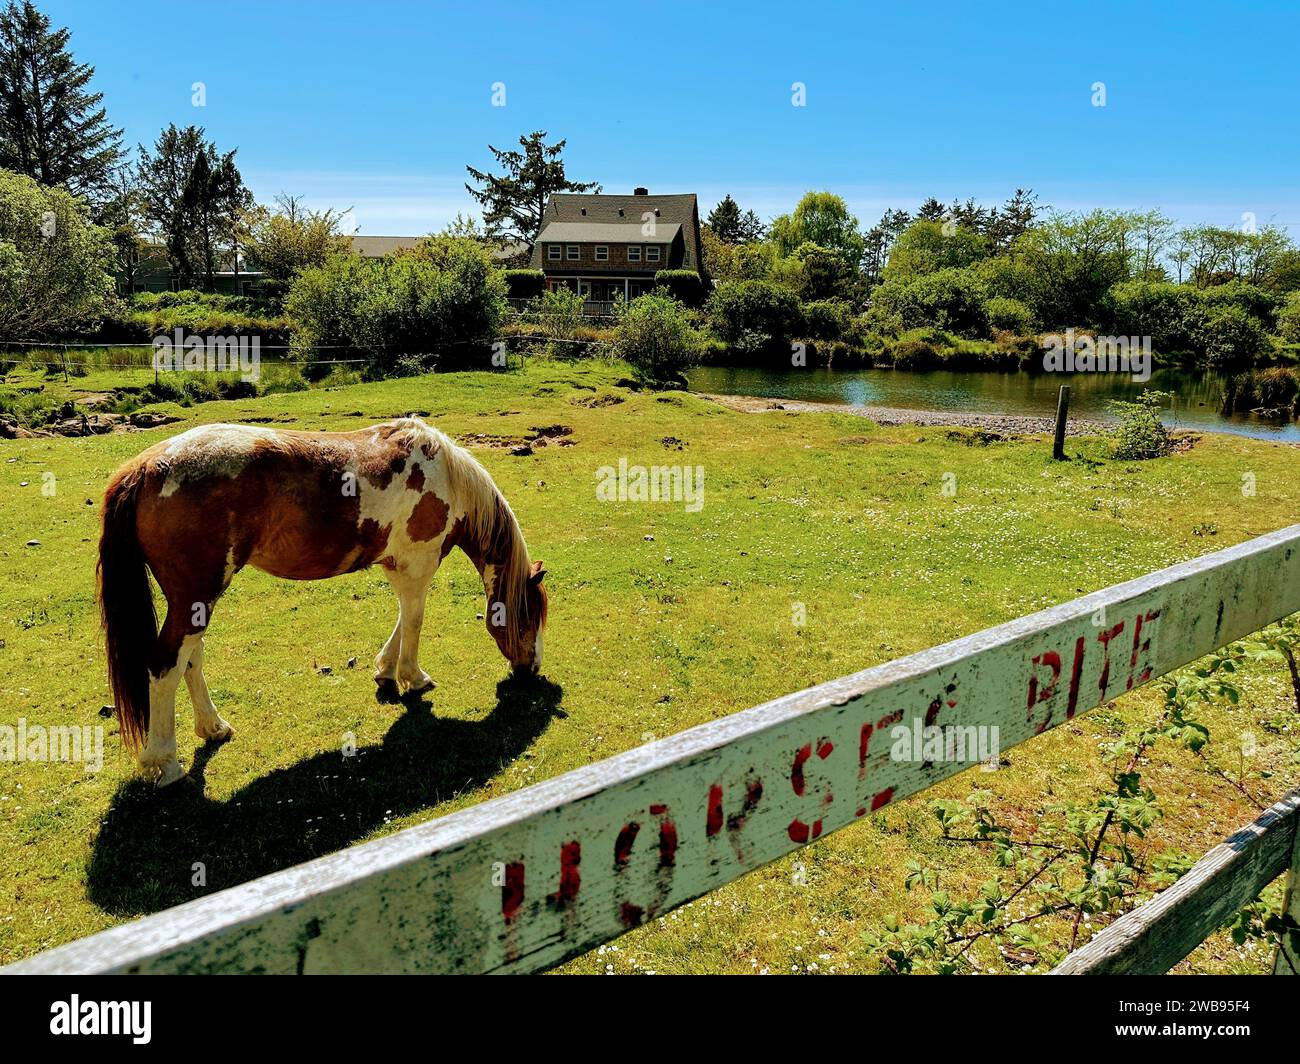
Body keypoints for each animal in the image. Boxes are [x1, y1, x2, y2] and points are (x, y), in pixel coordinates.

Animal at [97, 417, 547, 787]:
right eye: (527, 617)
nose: (532, 669)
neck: (445, 478)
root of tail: (144, 469)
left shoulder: (399, 567)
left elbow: (403, 619)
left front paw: (386, 672)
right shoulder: (418, 567)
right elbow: (414, 620)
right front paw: (412, 677)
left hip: (192, 602)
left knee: (191, 659)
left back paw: (213, 727)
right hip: (196, 596)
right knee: (165, 667)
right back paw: (166, 763)